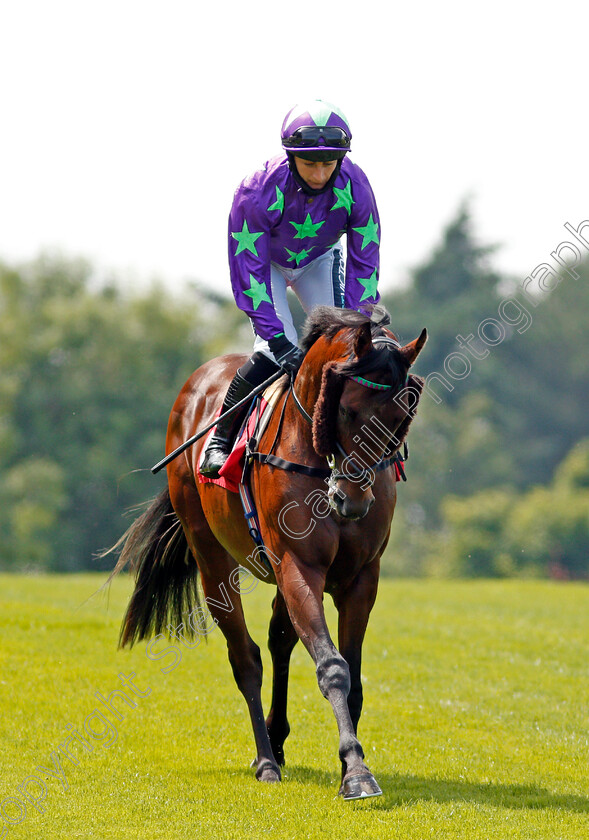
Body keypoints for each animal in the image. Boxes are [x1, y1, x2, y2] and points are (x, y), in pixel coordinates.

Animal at [108, 304, 424, 800]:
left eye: (400, 418)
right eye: (347, 410)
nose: (352, 500)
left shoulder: (360, 577)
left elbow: (351, 675)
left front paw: (351, 762)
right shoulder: (299, 565)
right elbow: (332, 667)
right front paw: (355, 771)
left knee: (279, 640)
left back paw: (275, 739)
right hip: (212, 557)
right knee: (247, 658)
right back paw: (265, 760)